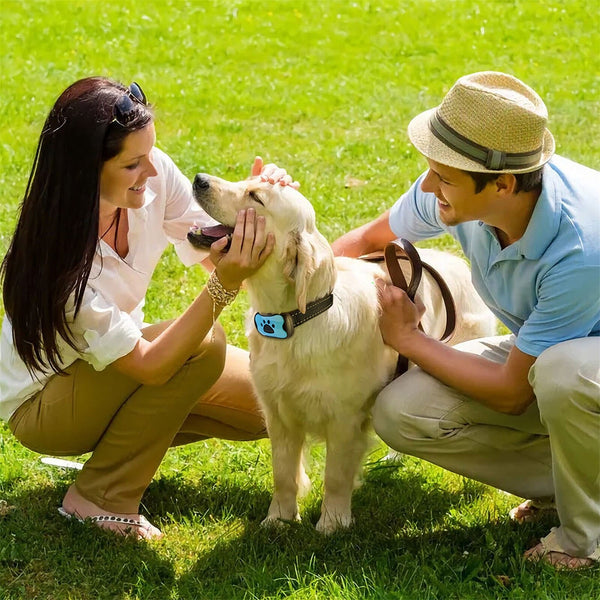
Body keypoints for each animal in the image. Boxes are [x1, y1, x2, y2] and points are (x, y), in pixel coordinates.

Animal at [190, 175, 494, 536]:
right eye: (247, 182)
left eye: (256, 196)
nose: (199, 179)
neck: (297, 319)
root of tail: (456, 262)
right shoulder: (277, 415)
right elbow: (283, 473)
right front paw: (278, 519)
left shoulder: (344, 419)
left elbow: (335, 476)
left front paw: (332, 523)